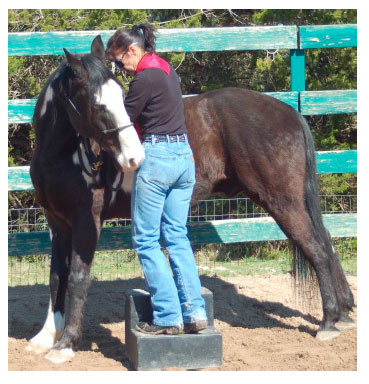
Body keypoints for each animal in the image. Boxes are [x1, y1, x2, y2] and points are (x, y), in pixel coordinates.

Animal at [26, 36, 354, 364]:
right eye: (97, 104)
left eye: (123, 97)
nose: (133, 158)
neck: (62, 156)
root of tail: (290, 112)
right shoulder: (58, 223)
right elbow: (56, 277)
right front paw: (45, 337)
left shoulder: (87, 221)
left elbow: (77, 278)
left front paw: (66, 344)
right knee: (326, 241)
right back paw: (343, 313)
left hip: (284, 202)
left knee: (316, 248)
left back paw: (328, 323)